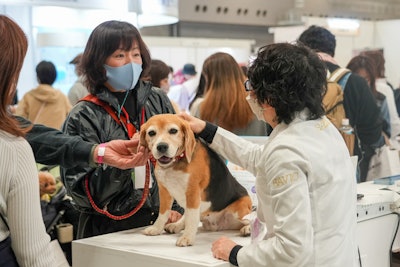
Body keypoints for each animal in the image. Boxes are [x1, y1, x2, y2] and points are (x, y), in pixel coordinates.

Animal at [140, 114, 250, 248]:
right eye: (151, 133)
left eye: (173, 130)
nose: (161, 146)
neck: (176, 162)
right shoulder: (164, 191)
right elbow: (163, 213)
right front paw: (156, 228)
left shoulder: (192, 192)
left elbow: (191, 218)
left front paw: (187, 237)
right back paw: (177, 225)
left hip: (238, 210)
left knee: (253, 220)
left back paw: (248, 229)